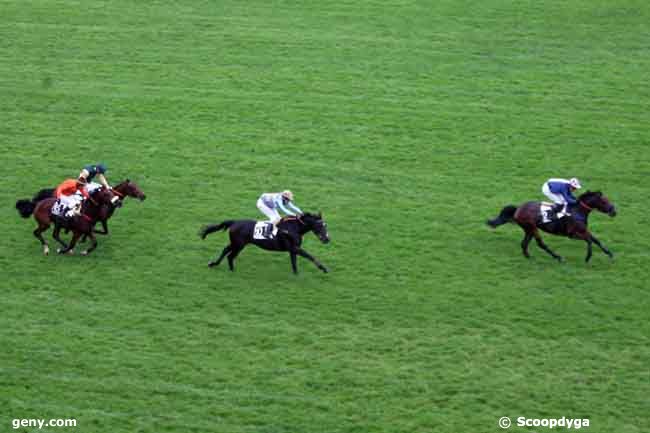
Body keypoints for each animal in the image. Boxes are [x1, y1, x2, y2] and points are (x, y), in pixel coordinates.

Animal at [197, 213, 330, 274]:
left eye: (325, 226)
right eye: (320, 226)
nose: (327, 239)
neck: (294, 228)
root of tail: (234, 222)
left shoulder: (293, 249)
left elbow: (294, 262)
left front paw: (296, 275)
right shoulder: (294, 248)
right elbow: (310, 256)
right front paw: (323, 268)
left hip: (236, 243)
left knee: (225, 250)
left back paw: (214, 264)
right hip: (239, 244)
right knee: (230, 255)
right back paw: (231, 269)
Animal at [486, 191, 616, 262]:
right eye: (604, 201)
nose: (614, 211)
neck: (577, 211)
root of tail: (518, 208)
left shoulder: (583, 230)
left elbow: (595, 240)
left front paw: (609, 253)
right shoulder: (572, 234)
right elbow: (589, 240)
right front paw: (588, 257)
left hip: (529, 229)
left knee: (524, 243)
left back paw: (528, 257)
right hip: (532, 227)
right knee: (540, 244)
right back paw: (558, 257)